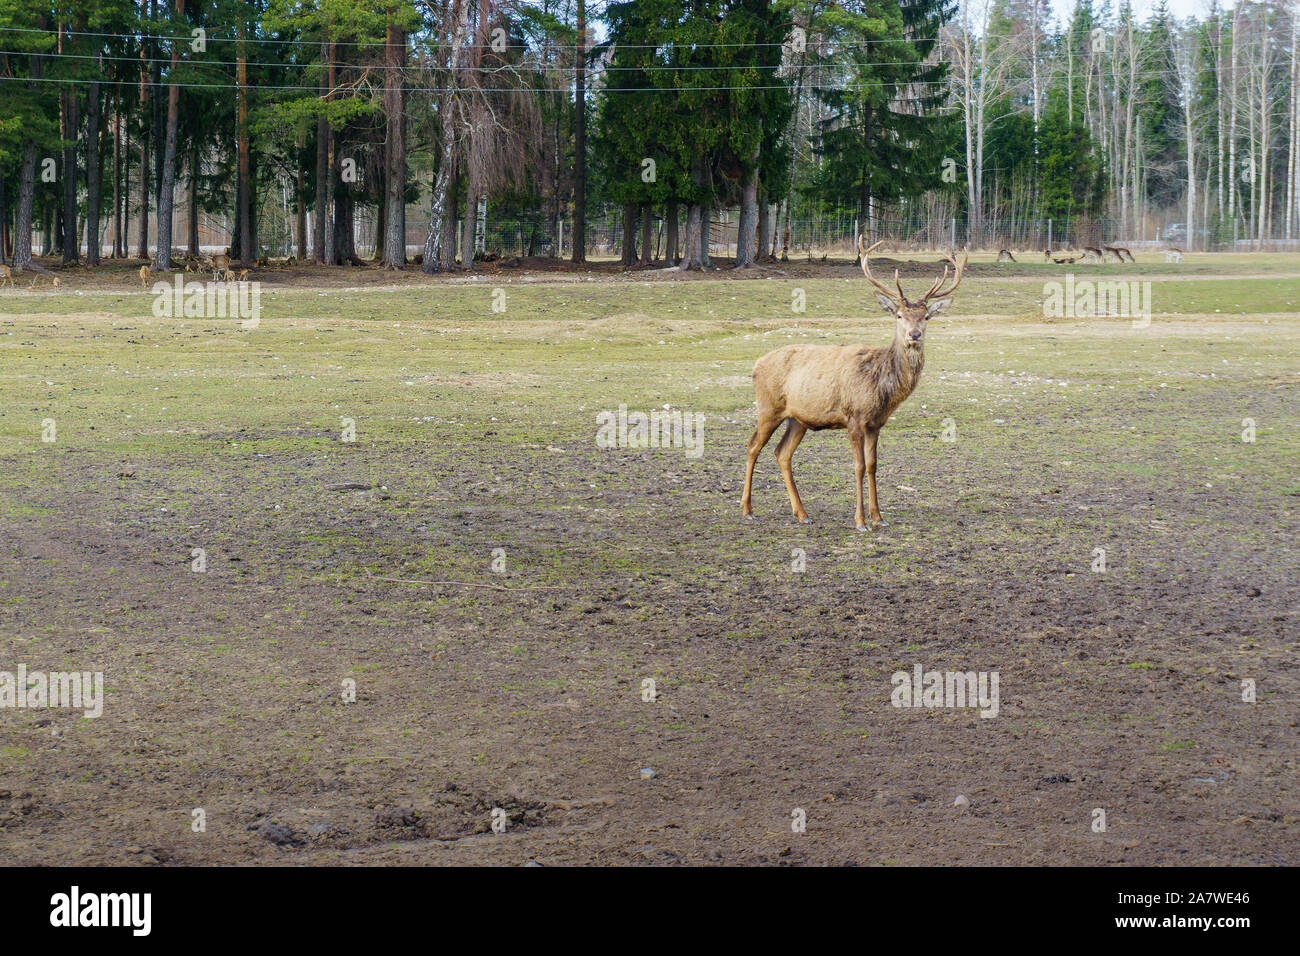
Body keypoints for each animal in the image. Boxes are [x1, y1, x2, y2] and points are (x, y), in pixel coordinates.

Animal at [743, 235, 967, 528]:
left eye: (926, 316)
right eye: (899, 315)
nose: (914, 334)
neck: (881, 388)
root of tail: (756, 365)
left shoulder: (876, 423)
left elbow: (873, 465)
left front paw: (878, 517)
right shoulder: (854, 417)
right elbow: (858, 466)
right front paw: (861, 520)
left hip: (798, 418)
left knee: (782, 453)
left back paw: (802, 513)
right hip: (768, 407)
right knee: (752, 446)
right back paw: (747, 509)